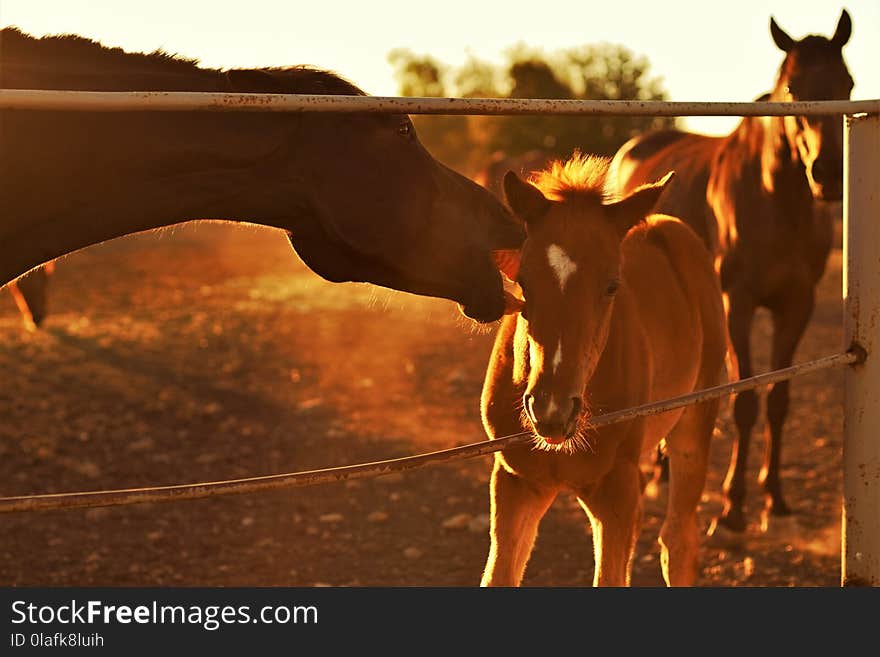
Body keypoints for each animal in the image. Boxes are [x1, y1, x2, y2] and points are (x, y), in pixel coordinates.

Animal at [478, 156, 724, 588]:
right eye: (522, 281)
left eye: (612, 286)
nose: (552, 411)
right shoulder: (516, 481)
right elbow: (498, 576)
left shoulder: (615, 489)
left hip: (694, 422)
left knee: (678, 540)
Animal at [612, 10, 852, 536]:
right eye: (793, 87)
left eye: (848, 83)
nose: (828, 173)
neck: (777, 201)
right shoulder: (737, 302)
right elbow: (744, 401)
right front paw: (733, 506)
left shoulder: (796, 305)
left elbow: (779, 400)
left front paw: (774, 500)